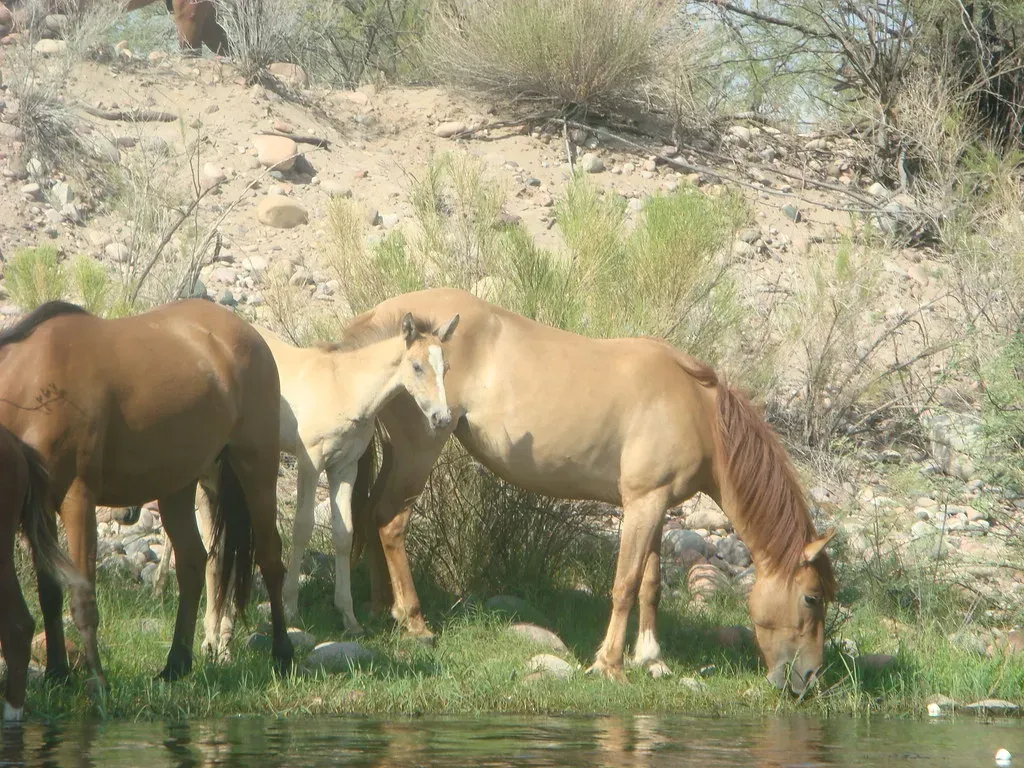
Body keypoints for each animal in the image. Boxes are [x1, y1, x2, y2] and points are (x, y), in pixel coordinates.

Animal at [155, 310, 460, 655]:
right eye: (417, 366)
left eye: (446, 367)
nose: (442, 418)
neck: (345, 387)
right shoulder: (311, 462)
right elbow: (302, 527)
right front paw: (289, 607)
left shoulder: (345, 467)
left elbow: (345, 534)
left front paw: (349, 617)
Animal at [349, 287, 837, 694]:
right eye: (811, 598)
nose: (810, 677)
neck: (697, 409)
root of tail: (378, 317)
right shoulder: (642, 504)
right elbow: (625, 584)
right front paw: (610, 664)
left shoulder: (655, 504)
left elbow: (650, 583)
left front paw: (651, 658)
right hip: (419, 450)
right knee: (391, 521)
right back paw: (414, 622)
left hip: (398, 454)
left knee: (370, 514)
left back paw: (379, 607)